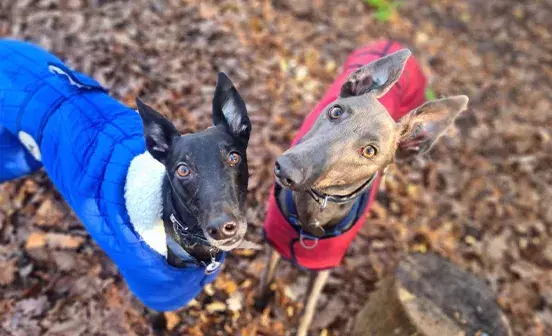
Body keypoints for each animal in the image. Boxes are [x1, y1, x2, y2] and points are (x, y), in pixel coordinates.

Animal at [256, 40, 468, 334]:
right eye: (336, 111)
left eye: (370, 151)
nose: (286, 168)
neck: (315, 212)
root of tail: (393, 43)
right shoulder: (275, 237)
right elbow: (267, 277)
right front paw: (259, 306)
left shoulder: (324, 267)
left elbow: (308, 310)